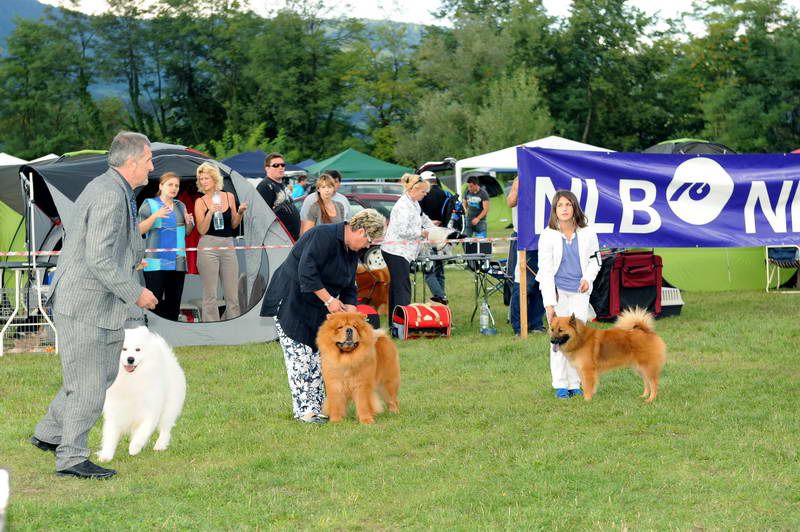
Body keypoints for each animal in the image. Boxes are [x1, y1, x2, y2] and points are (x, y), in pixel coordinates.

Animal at [96, 324, 187, 462]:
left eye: (137, 349)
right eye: (124, 349)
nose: (130, 359)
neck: (132, 379)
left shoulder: (150, 410)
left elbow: (143, 431)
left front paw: (134, 447)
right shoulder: (115, 413)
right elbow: (110, 436)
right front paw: (106, 456)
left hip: (170, 406)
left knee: (166, 428)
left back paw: (160, 445)